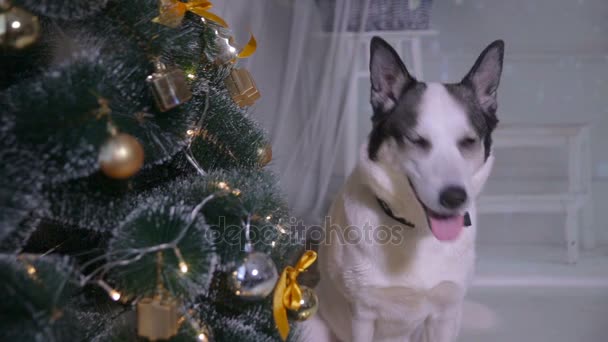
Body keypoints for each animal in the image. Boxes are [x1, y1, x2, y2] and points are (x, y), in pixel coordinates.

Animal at [302, 37, 506, 342]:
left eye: (468, 141)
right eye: (417, 140)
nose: (455, 197)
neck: (417, 230)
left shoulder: (446, 314)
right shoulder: (361, 316)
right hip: (311, 325)